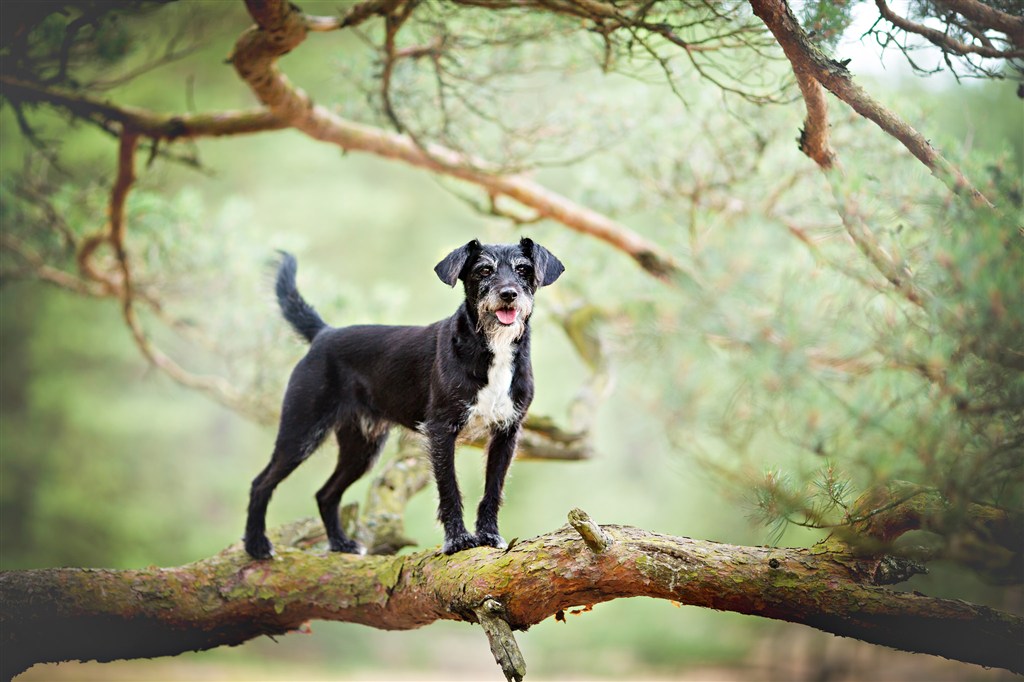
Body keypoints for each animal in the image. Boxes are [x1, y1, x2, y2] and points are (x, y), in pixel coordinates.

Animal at [245, 236, 569, 557]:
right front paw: (458, 540)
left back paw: (341, 543)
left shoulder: (506, 432)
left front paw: (489, 534)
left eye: (524, 269)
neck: (492, 348)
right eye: (484, 270)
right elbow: (449, 489)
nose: (508, 294)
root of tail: (324, 334)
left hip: (361, 448)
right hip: (301, 432)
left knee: (325, 493)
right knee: (261, 483)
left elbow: (493, 489)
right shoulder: (441, 430)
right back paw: (256, 545)